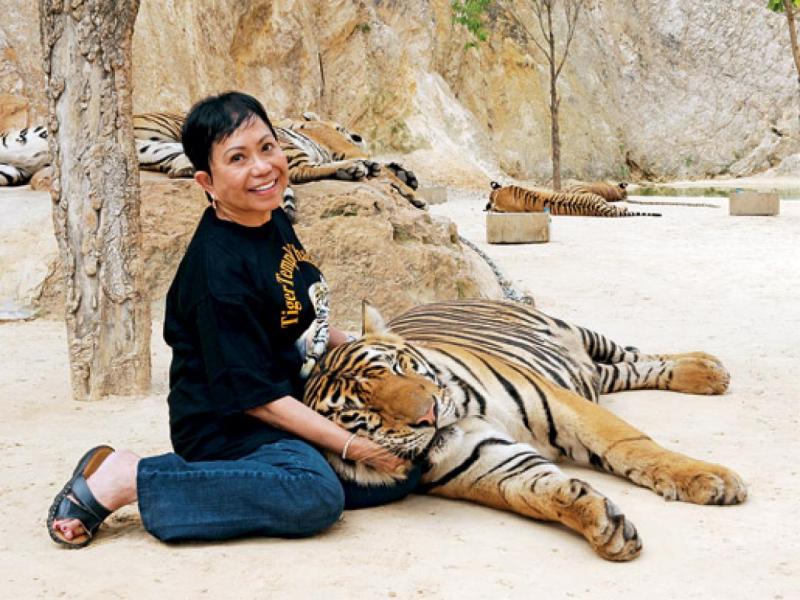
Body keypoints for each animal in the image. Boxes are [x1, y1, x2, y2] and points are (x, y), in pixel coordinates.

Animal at [0, 109, 424, 220]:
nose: (358, 135)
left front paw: (406, 178)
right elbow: (377, 166)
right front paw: (404, 185)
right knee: (303, 173)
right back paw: (356, 170)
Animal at [304, 300, 748, 564]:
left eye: (397, 367)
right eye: (361, 412)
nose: (428, 415)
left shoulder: (564, 404)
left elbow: (630, 445)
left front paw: (709, 479)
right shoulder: (488, 461)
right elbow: (539, 489)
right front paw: (602, 522)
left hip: (575, 331)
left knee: (633, 354)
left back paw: (707, 369)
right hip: (590, 369)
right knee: (621, 370)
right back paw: (704, 374)